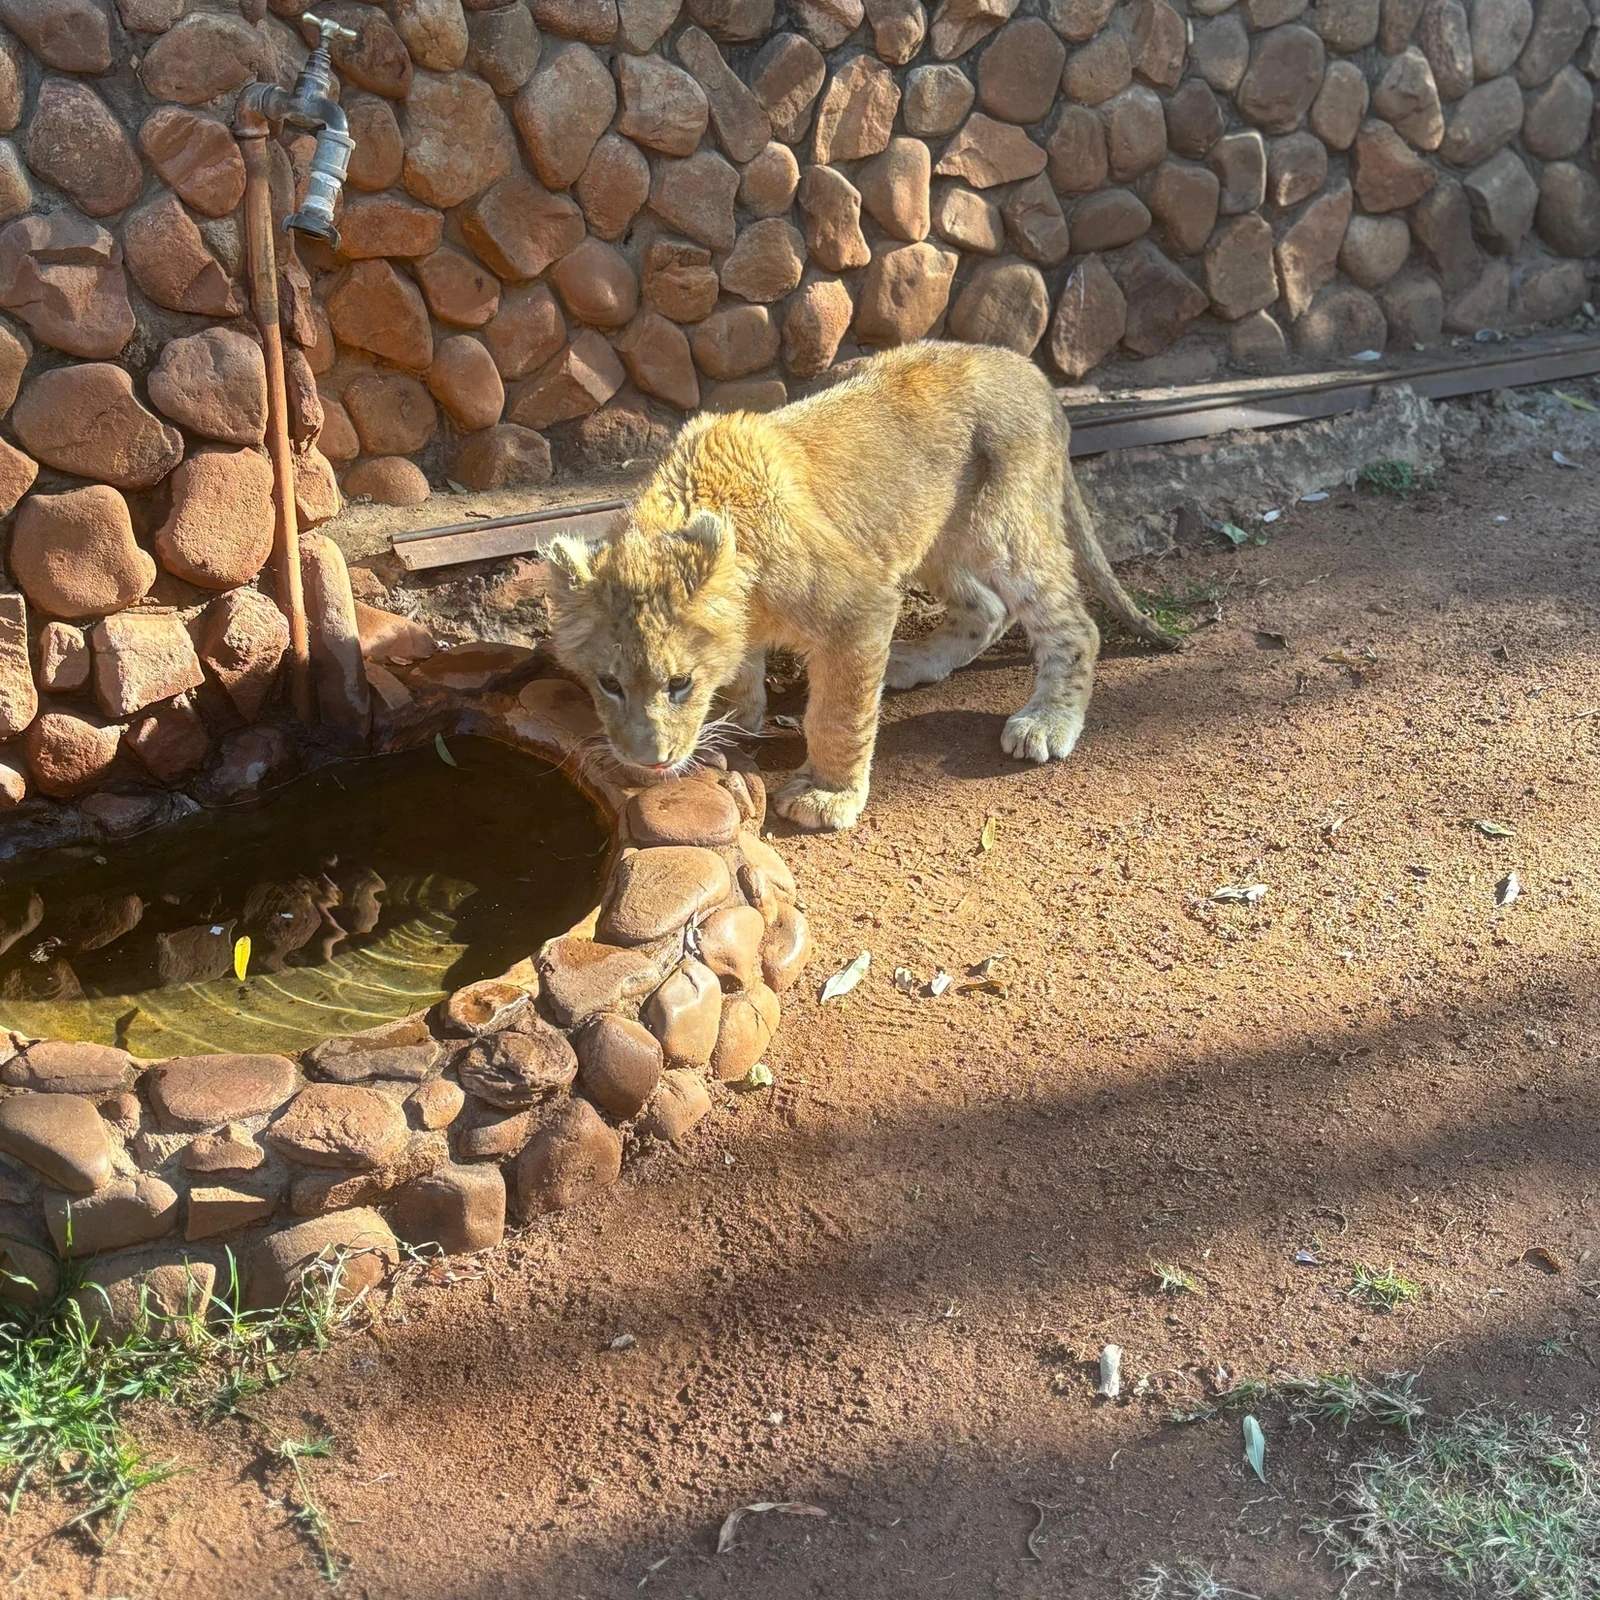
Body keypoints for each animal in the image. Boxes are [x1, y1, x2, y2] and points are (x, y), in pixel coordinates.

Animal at [545, 340, 1178, 832]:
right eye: (608, 683)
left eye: (678, 683)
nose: (649, 762)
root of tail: (1030, 371)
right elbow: (743, 674)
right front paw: (731, 727)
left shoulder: (860, 607)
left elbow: (837, 715)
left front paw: (827, 795)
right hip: (927, 532)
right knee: (987, 608)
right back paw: (910, 662)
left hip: (1004, 526)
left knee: (1073, 624)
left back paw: (1046, 722)